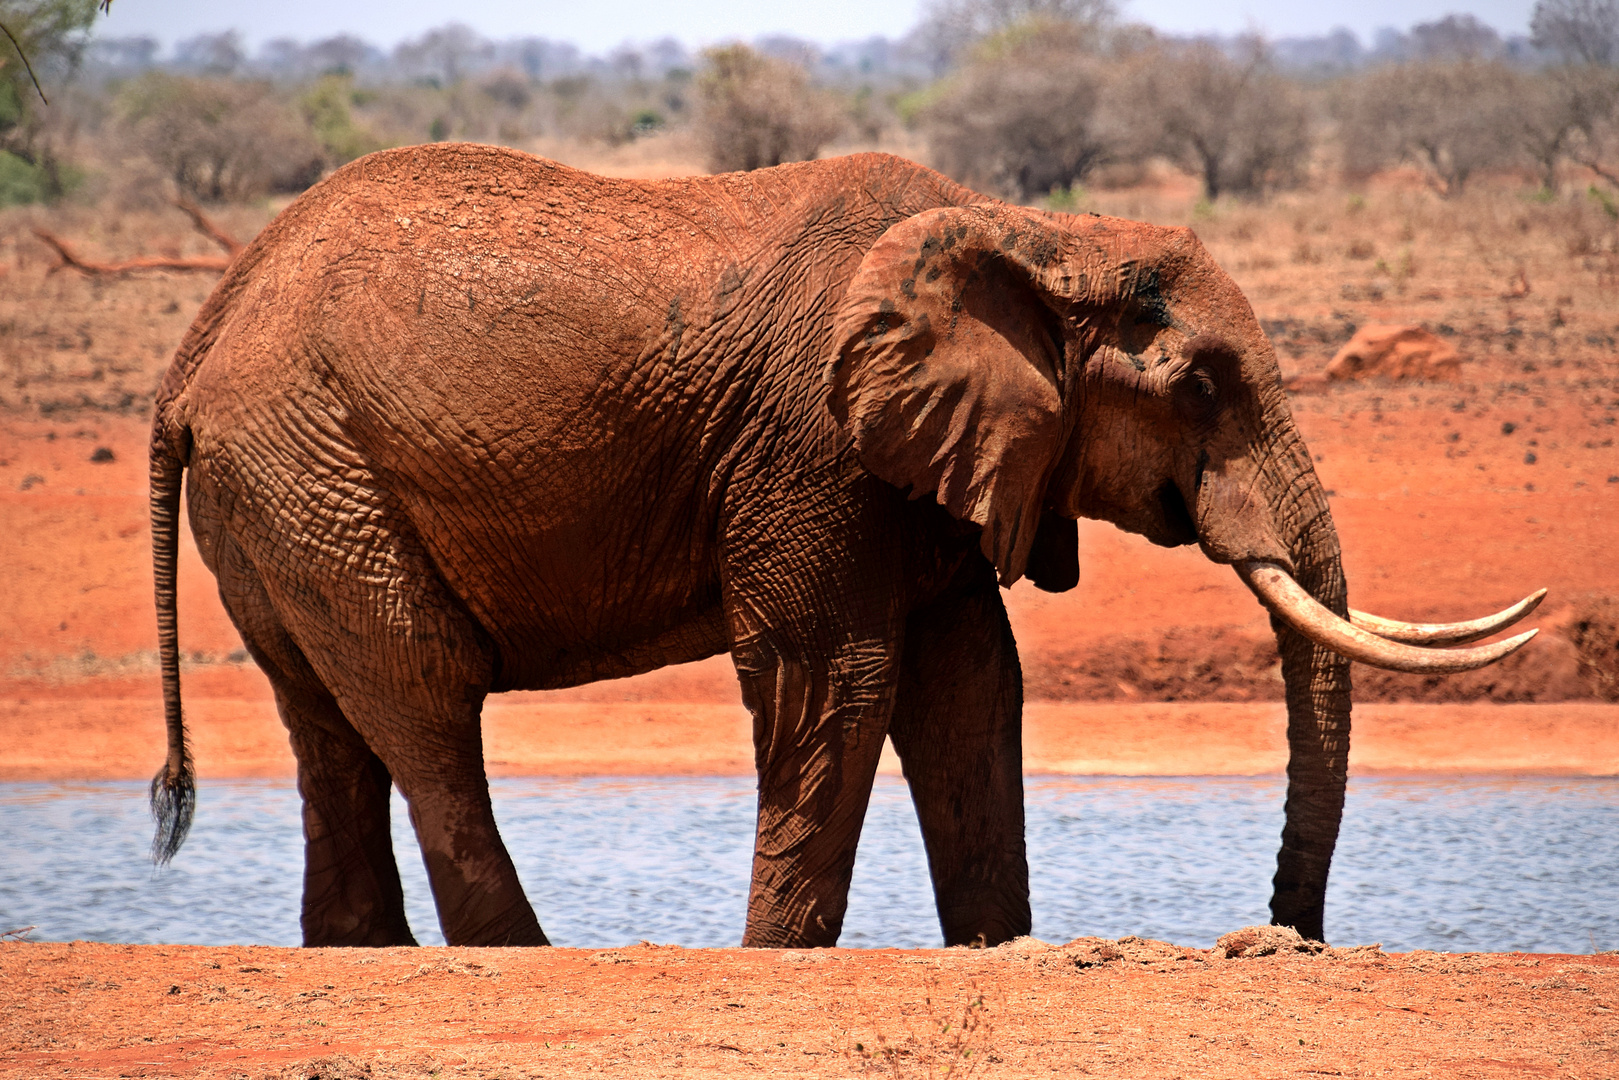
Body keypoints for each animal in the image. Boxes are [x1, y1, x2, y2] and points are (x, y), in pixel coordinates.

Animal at [145, 143, 1534, 945]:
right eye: (1198, 387)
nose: (1281, 941)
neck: (1031, 237)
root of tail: (198, 338)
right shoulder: (812, 442)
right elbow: (837, 678)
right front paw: (775, 958)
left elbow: (972, 683)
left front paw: (997, 950)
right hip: (311, 467)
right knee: (427, 700)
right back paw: (520, 954)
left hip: (286, 493)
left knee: (330, 727)